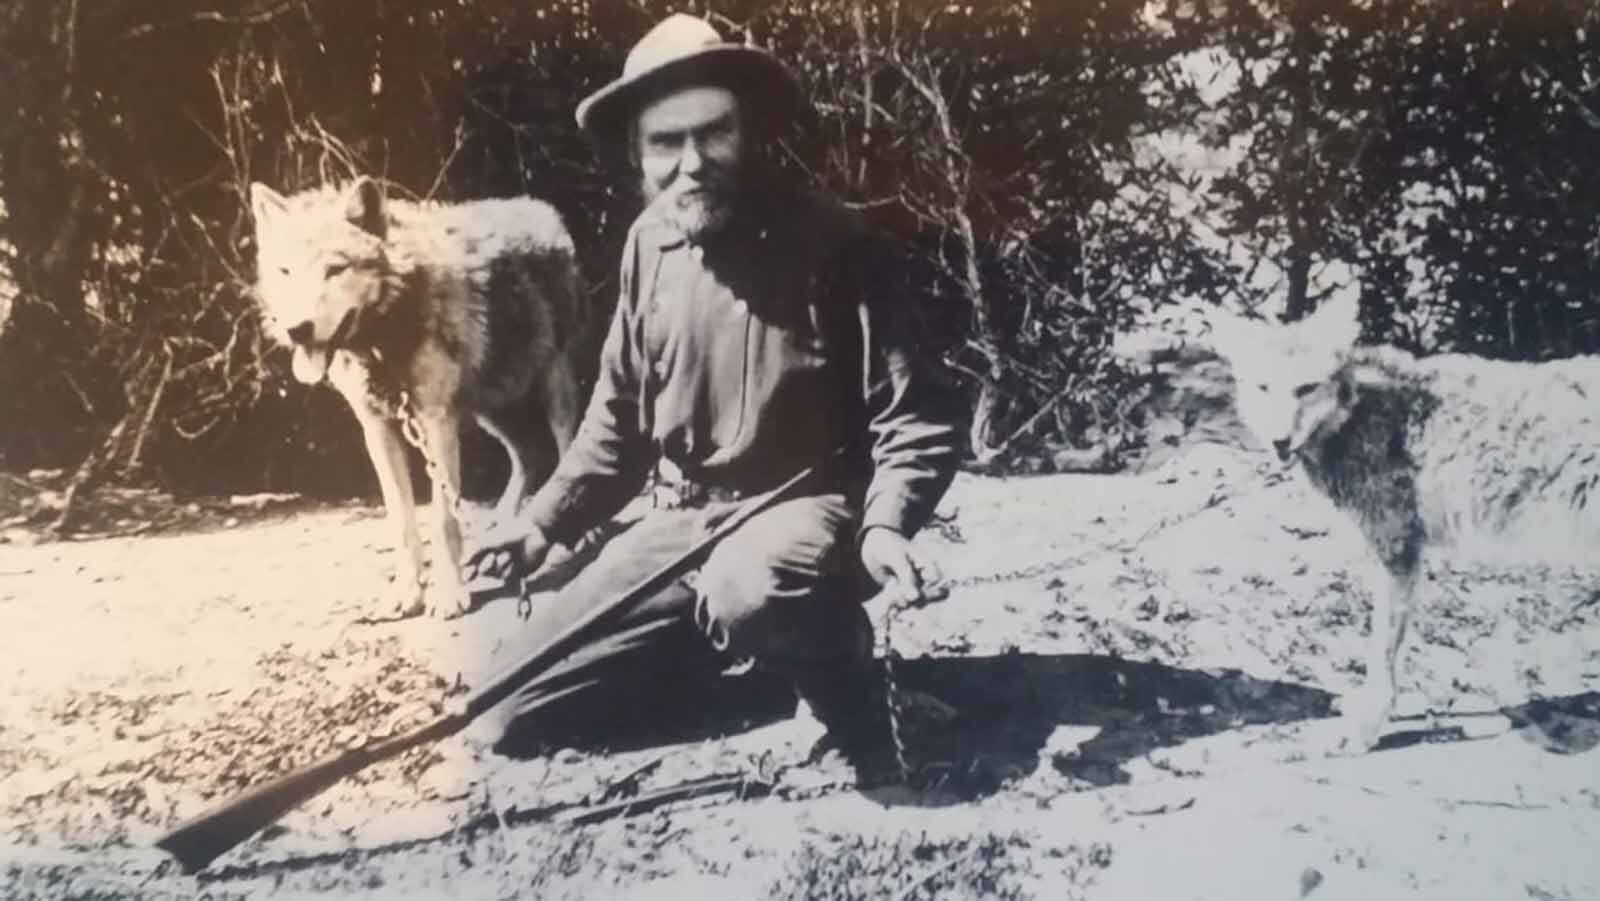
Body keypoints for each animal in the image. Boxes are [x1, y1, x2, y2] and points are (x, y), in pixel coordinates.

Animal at [249, 177, 589, 621]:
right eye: (285, 272)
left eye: (334, 269)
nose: (297, 329)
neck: (382, 337)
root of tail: (540, 208)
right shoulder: (377, 429)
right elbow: (402, 520)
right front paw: (406, 594)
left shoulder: (436, 422)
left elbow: (443, 522)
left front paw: (449, 595)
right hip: (490, 406)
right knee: (530, 455)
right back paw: (500, 531)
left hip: (551, 388)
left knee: (566, 449)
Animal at [1204, 294, 1600, 751]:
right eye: (1263, 388)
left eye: (1304, 389)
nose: (1279, 442)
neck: (1359, 417)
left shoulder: (1397, 554)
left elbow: (1382, 652)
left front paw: (1366, 728)